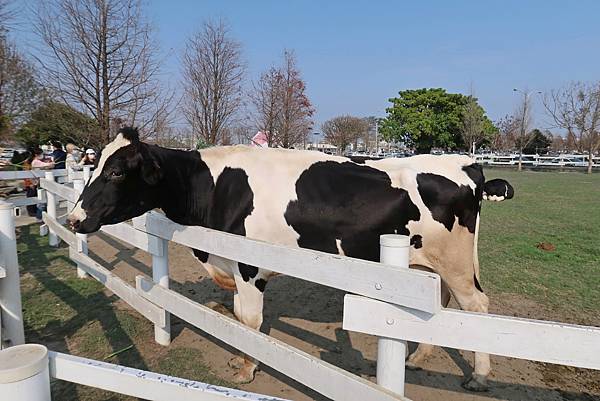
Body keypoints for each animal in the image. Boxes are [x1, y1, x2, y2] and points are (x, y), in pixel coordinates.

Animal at [68, 127, 512, 388]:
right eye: (95, 165)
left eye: (117, 172)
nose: (74, 218)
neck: (212, 186)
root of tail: (463, 162)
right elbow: (236, 313)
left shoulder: (249, 267)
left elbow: (249, 319)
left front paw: (247, 368)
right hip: (431, 262)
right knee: (444, 306)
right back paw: (419, 357)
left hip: (454, 260)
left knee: (477, 306)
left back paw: (479, 377)